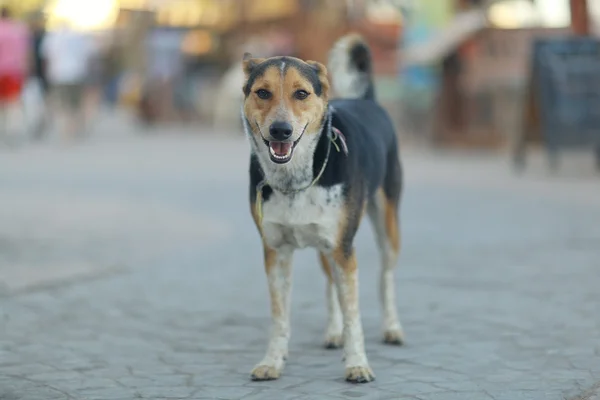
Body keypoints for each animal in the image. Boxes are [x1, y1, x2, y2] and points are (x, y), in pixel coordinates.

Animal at [241, 33, 406, 384]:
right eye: (262, 92)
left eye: (301, 93)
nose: (280, 130)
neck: (295, 179)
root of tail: (367, 100)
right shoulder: (275, 251)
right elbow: (279, 317)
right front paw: (272, 362)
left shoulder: (343, 248)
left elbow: (354, 316)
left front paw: (357, 365)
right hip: (325, 245)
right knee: (331, 282)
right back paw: (333, 333)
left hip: (386, 225)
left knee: (385, 276)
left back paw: (392, 328)